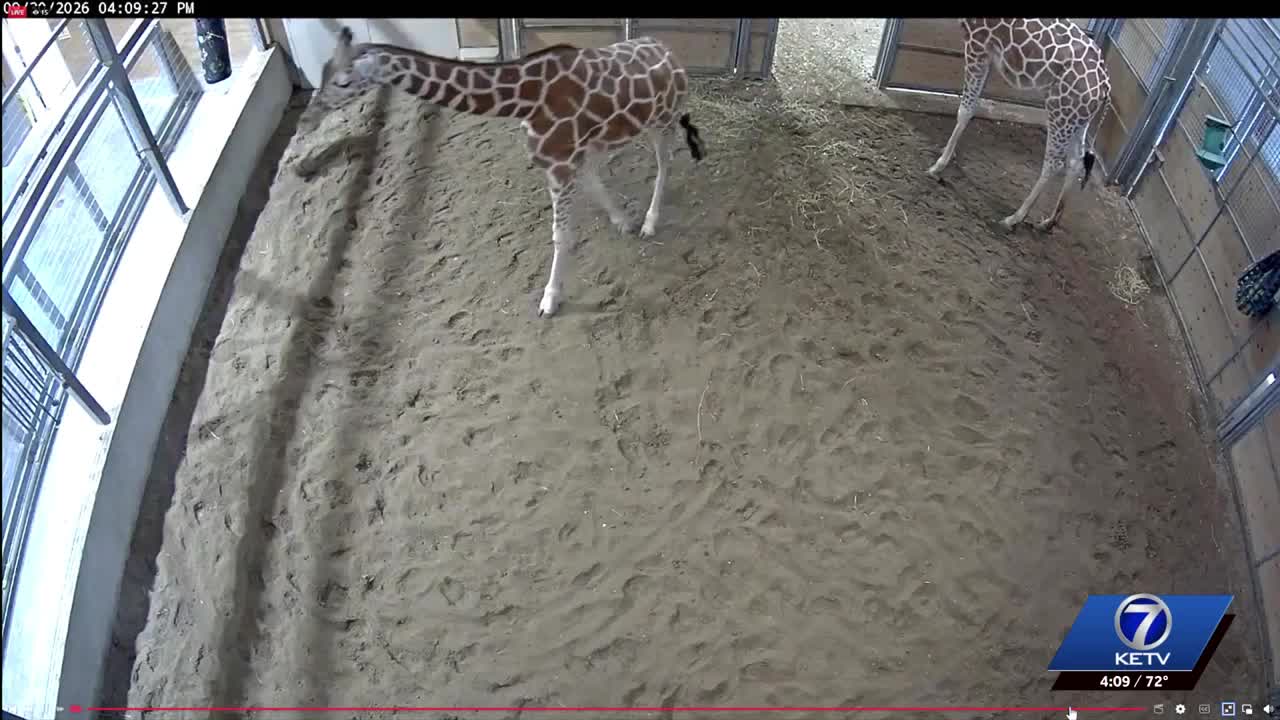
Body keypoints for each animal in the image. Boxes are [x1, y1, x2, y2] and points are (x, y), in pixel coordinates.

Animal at [307, 26, 706, 318]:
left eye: (342, 82)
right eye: (322, 71)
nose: (313, 113)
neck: (525, 99)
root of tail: (671, 54)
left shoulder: (559, 163)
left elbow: (560, 235)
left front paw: (550, 300)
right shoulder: (564, 157)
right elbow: (592, 187)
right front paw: (621, 221)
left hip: (663, 119)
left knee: (665, 165)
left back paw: (650, 223)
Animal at [925, 19, 1112, 232]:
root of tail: (1105, 87)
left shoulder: (977, 43)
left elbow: (965, 110)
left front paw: (938, 166)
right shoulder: (988, 53)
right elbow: (973, 106)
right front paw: (946, 155)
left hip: (1060, 111)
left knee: (1054, 163)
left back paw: (1013, 218)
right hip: (1078, 117)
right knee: (1075, 160)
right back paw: (1048, 222)